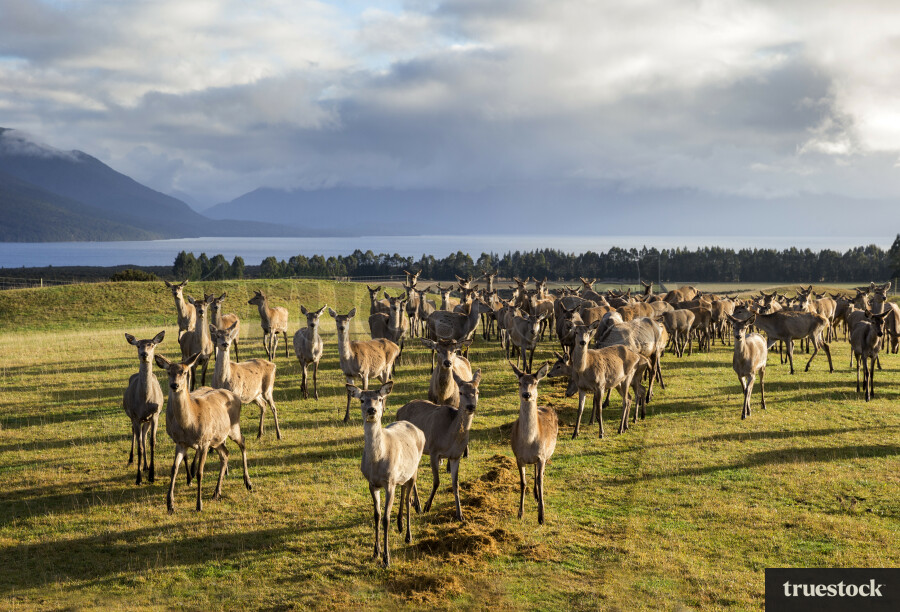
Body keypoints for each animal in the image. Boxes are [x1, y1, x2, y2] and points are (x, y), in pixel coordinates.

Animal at [123, 331, 166, 485]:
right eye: (138, 345)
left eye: (151, 344)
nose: (144, 354)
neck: (144, 401)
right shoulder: (135, 415)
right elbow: (140, 446)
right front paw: (138, 478)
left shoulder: (155, 415)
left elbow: (152, 442)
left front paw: (152, 475)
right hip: (132, 416)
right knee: (136, 435)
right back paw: (131, 459)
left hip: (146, 420)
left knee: (144, 435)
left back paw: (146, 466)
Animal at [155, 352, 252, 513]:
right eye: (168, 372)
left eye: (184, 372)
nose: (174, 385)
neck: (189, 423)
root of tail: (235, 396)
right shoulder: (180, 443)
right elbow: (174, 469)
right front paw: (170, 504)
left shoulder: (204, 442)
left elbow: (200, 473)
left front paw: (199, 505)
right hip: (217, 438)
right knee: (225, 453)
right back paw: (216, 492)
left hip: (233, 427)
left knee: (243, 442)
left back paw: (248, 483)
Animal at [351, 382, 425, 567]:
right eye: (362, 399)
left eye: (379, 398)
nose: (371, 410)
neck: (377, 462)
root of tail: (419, 430)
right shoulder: (372, 483)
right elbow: (377, 515)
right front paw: (375, 552)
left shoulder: (389, 481)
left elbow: (385, 518)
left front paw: (386, 558)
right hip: (403, 474)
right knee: (404, 489)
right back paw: (400, 525)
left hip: (414, 469)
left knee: (408, 498)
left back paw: (408, 535)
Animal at [395, 370, 481, 520]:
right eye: (460, 392)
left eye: (476, 391)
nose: (471, 406)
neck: (449, 438)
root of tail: (398, 411)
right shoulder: (434, 450)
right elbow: (436, 481)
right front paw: (427, 506)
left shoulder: (456, 456)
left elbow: (455, 483)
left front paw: (460, 514)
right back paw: (417, 505)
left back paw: (414, 502)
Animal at [509, 361, 557, 525]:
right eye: (519, 382)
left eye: (535, 383)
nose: (527, 395)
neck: (529, 442)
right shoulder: (518, 457)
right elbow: (523, 482)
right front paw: (520, 513)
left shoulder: (542, 456)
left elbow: (540, 480)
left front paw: (541, 517)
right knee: (535, 472)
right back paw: (535, 495)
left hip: (548, 453)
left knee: (539, 474)